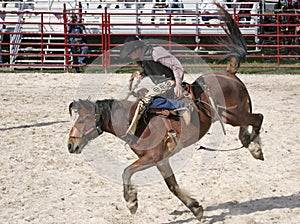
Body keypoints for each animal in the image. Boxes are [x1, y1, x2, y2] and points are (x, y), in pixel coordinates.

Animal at [67, 6, 262, 222]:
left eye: (82, 120)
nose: (70, 145)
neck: (134, 120)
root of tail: (229, 73)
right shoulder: (161, 160)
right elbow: (172, 186)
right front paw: (196, 209)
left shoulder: (152, 157)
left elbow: (126, 171)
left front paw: (131, 202)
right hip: (230, 116)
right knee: (248, 123)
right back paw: (248, 142)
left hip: (235, 115)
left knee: (258, 118)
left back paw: (255, 147)